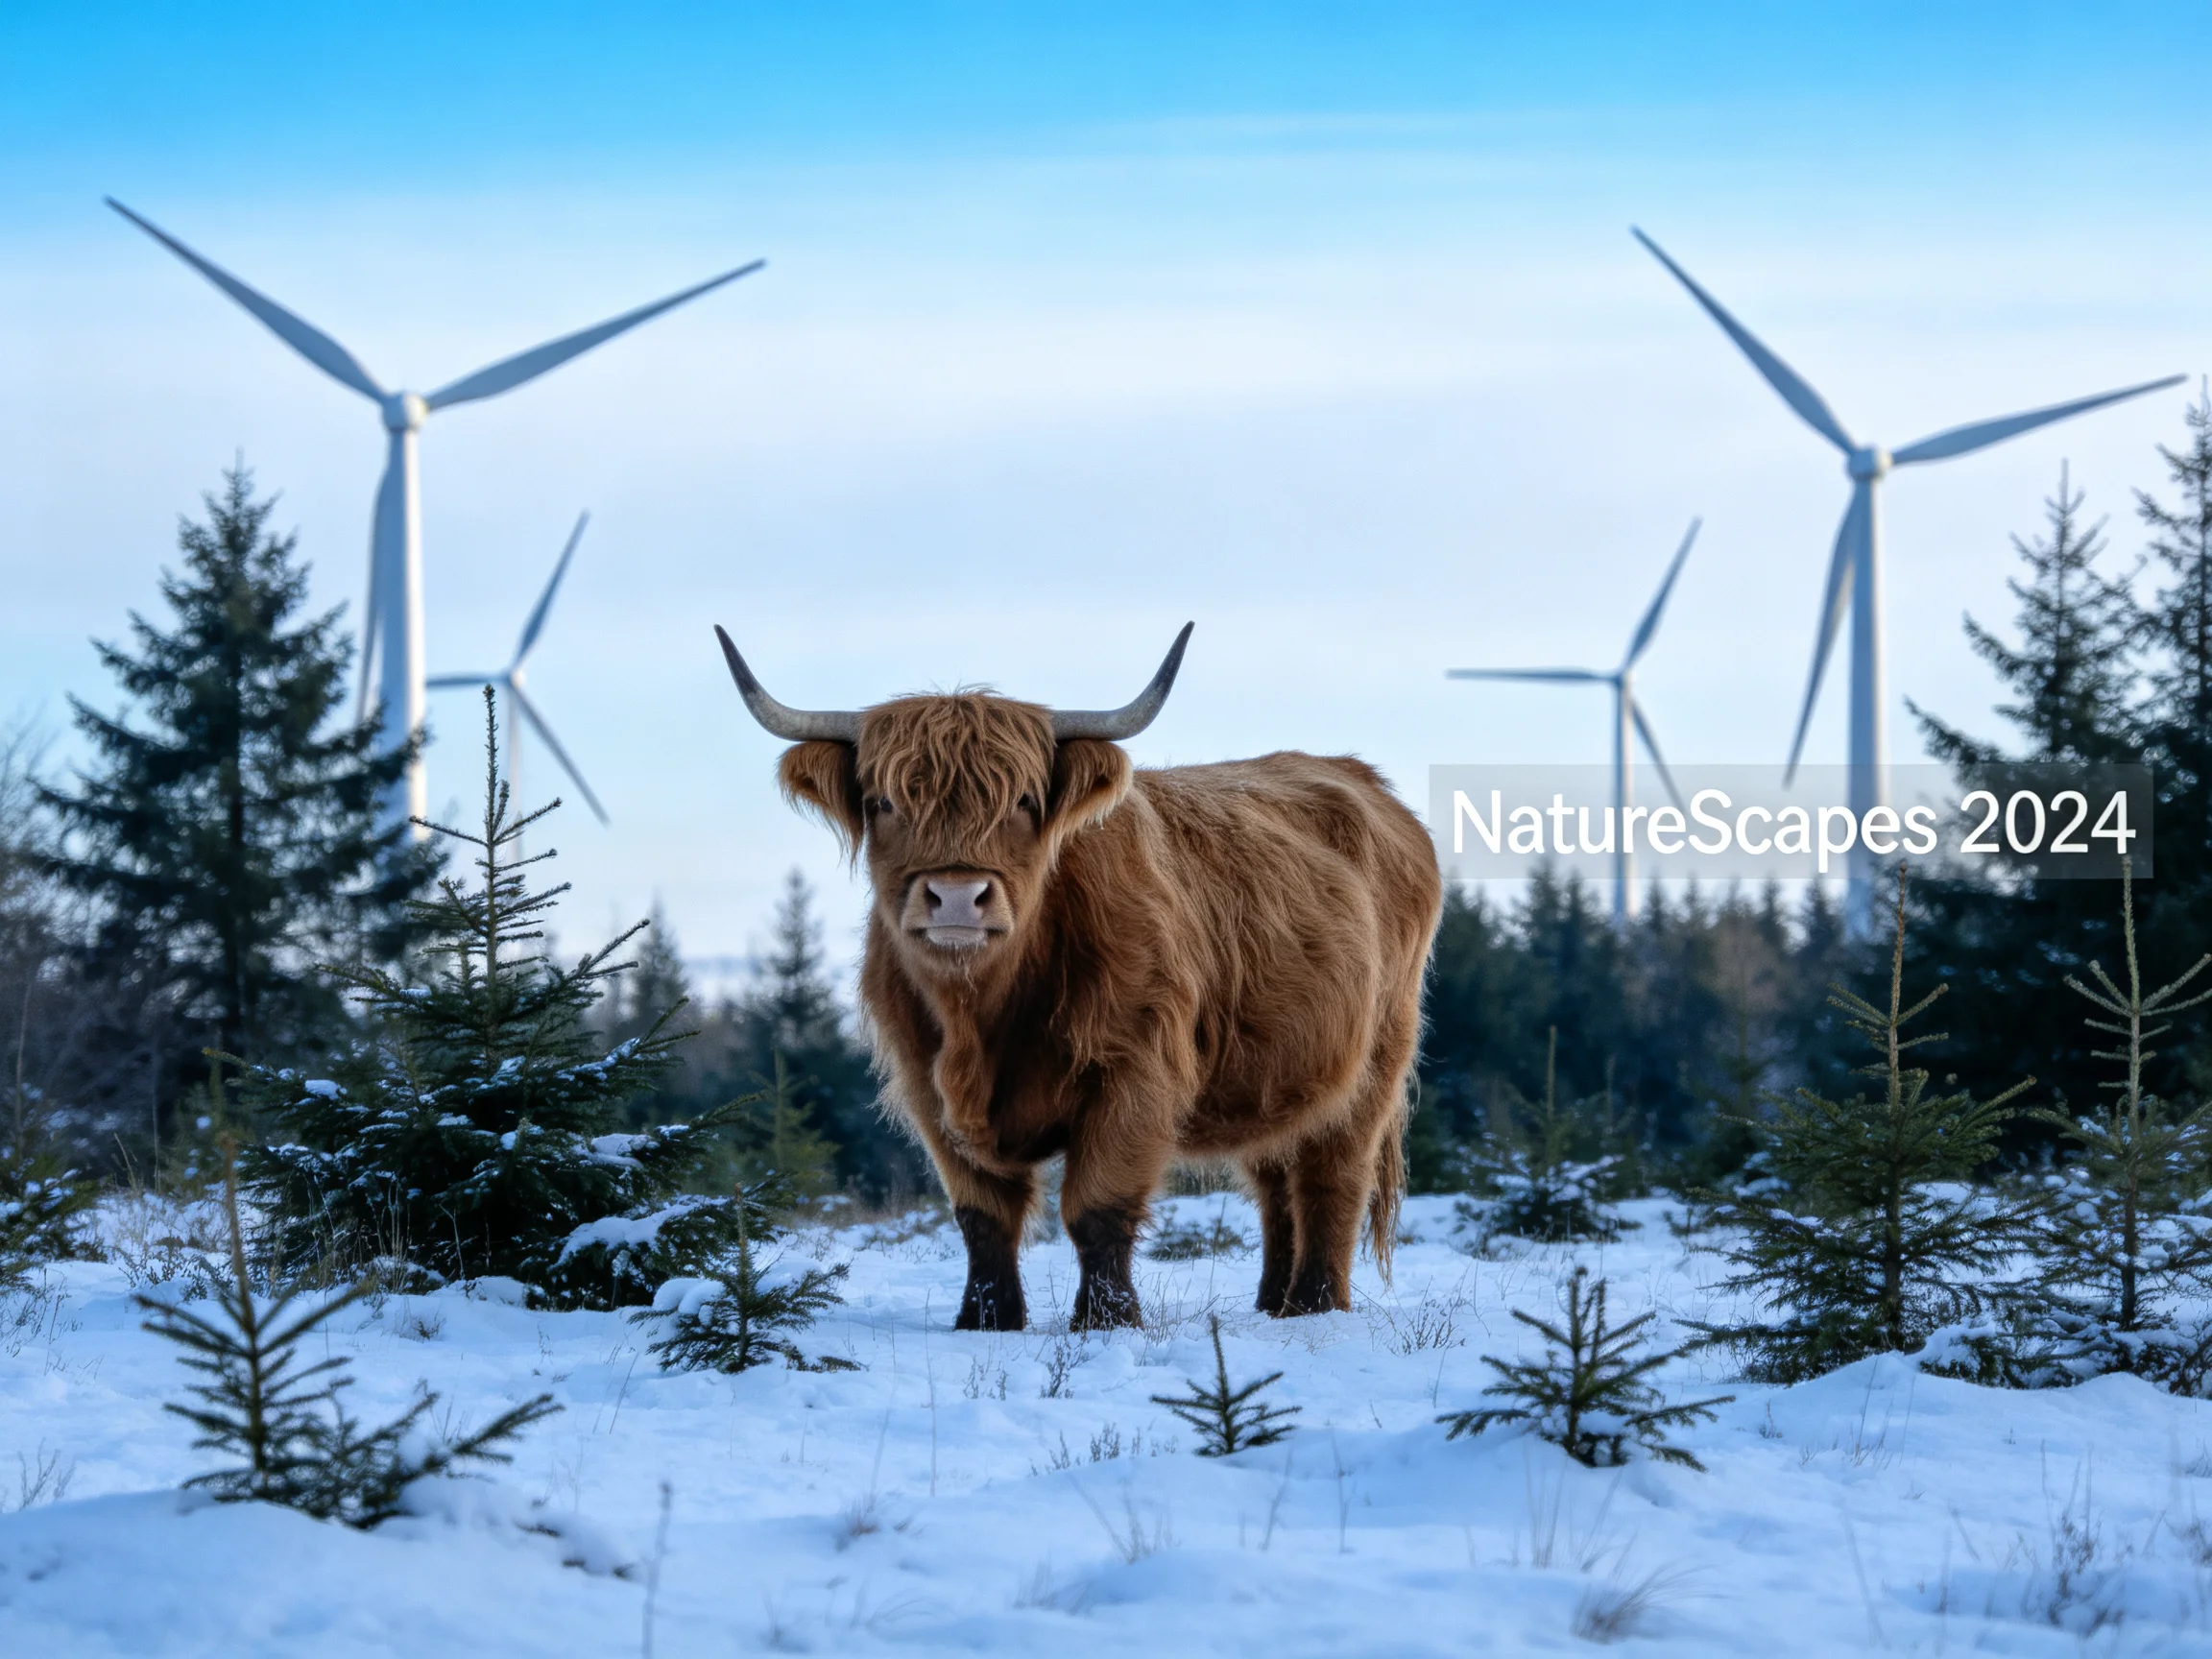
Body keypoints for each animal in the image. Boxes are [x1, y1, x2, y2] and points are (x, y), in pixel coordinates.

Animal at [715, 623, 1442, 1330]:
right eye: (884, 801)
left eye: (1024, 800)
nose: (957, 897)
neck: (980, 1018)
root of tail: (1359, 777)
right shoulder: (926, 1085)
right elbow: (982, 1214)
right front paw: (987, 1319)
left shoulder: (1134, 1073)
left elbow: (1098, 1207)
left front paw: (1106, 1320)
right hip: (1277, 1074)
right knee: (1275, 1182)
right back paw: (1273, 1305)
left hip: (1374, 1062)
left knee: (1330, 1180)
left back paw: (1315, 1307)